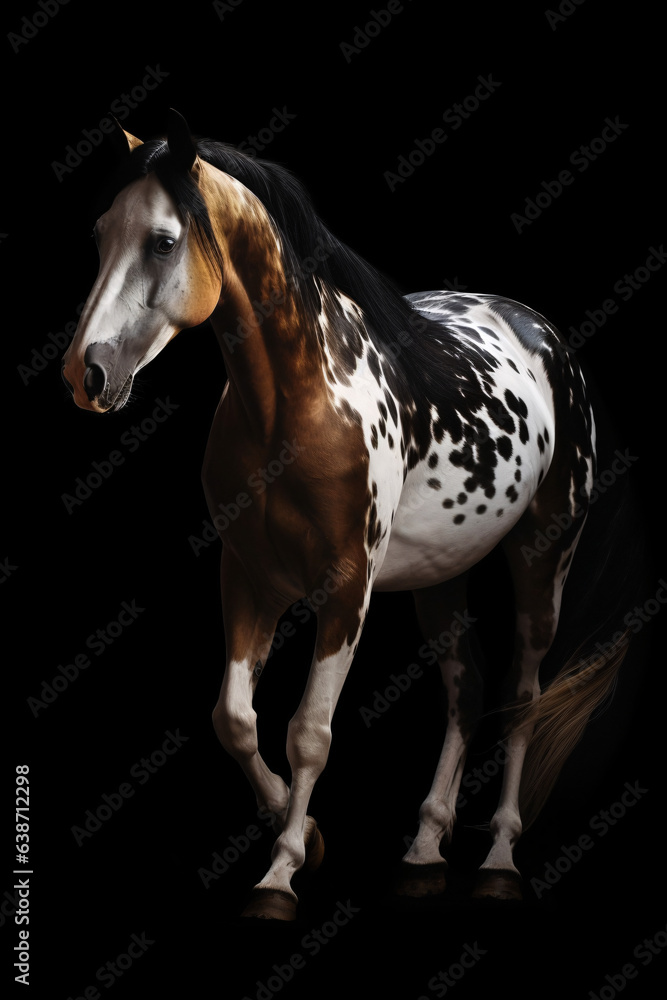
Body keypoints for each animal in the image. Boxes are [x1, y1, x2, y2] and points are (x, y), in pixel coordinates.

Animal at [61, 110, 631, 920]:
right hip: (439, 576)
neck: (295, 403)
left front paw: (281, 871)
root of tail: (545, 338)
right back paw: (423, 851)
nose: (87, 374)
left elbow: (308, 732)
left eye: (162, 241)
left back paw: (496, 861)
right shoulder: (249, 577)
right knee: (465, 688)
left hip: (541, 560)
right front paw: (302, 829)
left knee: (521, 695)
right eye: (102, 231)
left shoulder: (346, 587)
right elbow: (234, 718)